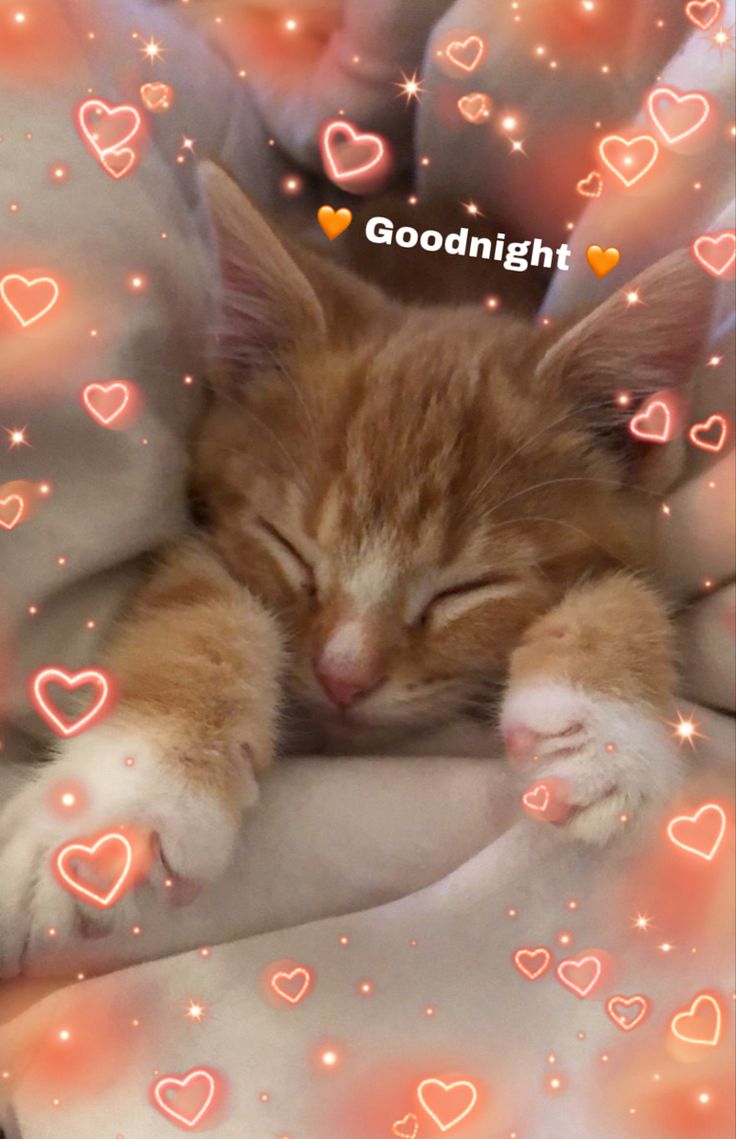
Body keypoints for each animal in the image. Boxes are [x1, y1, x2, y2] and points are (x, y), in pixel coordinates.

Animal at [0, 165, 715, 974]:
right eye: (288, 547)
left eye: (468, 588)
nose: (342, 676)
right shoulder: (205, 534)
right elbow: (196, 606)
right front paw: (117, 803)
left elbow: (631, 586)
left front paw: (603, 735)